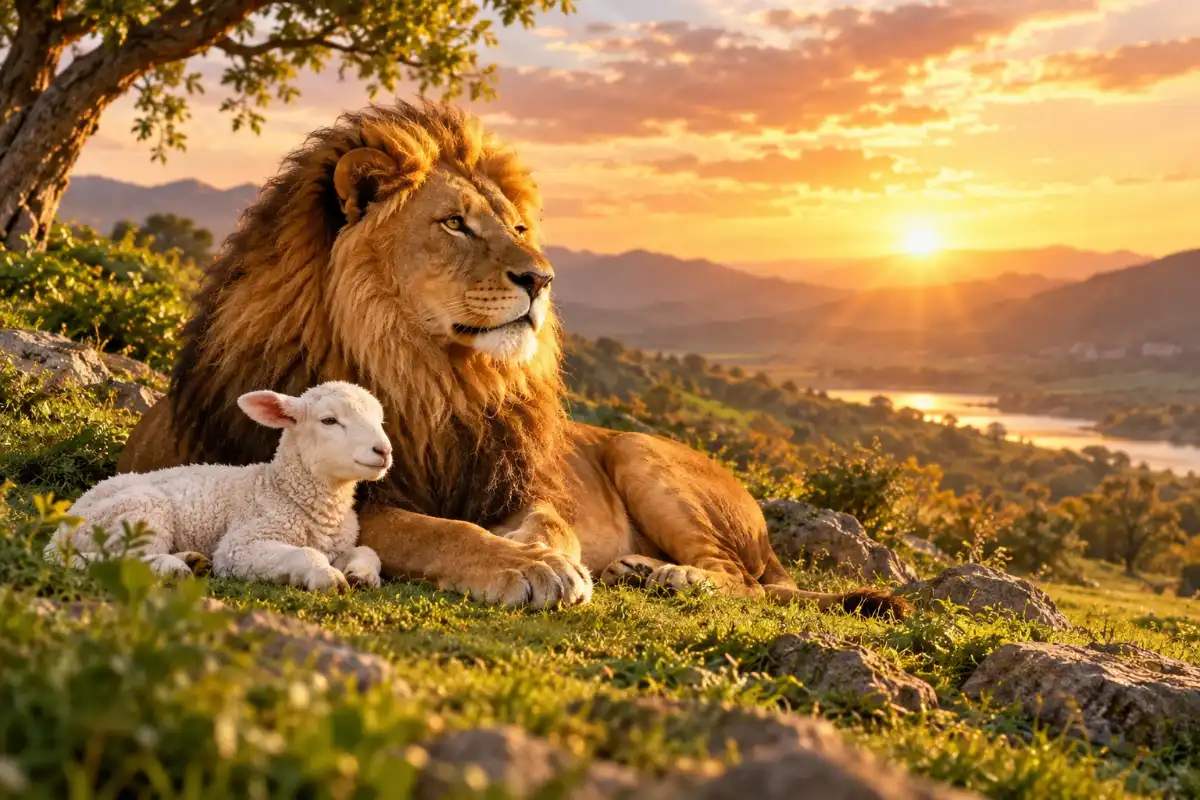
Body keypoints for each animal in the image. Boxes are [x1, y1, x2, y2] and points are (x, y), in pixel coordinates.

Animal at [45, 381, 394, 593]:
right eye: (329, 421)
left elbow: (368, 551)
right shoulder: (240, 545)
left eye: (380, 420)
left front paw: (362, 575)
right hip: (138, 510)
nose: (384, 450)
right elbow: (306, 553)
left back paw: (191, 560)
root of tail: (60, 529)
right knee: (121, 558)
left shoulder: (338, 543)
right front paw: (327, 577)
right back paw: (173, 567)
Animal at [117, 99, 908, 618]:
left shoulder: (516, 484)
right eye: (455, 223)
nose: (542, 278)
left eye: (519, 227)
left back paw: (669, 578)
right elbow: (428, 527)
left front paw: (546, 559)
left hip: (643, 455)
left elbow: (542, 524)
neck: (434, 377)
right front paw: (529, 568)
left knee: (742, 578)